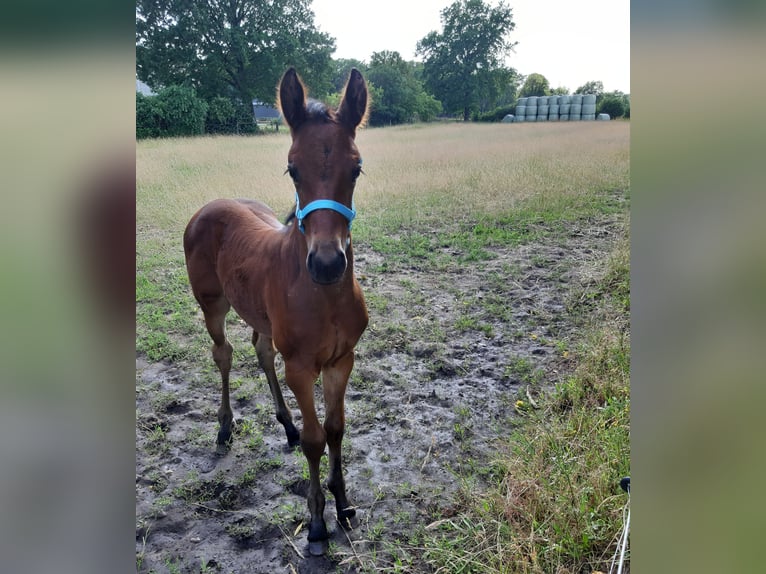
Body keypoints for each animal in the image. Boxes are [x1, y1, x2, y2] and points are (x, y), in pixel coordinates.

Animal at [183, 68, 368, 560]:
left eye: (356, 168)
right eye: (292, 168)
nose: (327, 263)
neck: (324, 297)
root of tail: (212, 204)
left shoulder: (342, 360)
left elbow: (336, 428)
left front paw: (343, 502)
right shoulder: (301, 366)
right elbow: (316, 439)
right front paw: (317, 524)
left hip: (261, 318)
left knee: (261, 351)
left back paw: (285, 425)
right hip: (212, 304)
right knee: (224, 353)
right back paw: (225, 427)